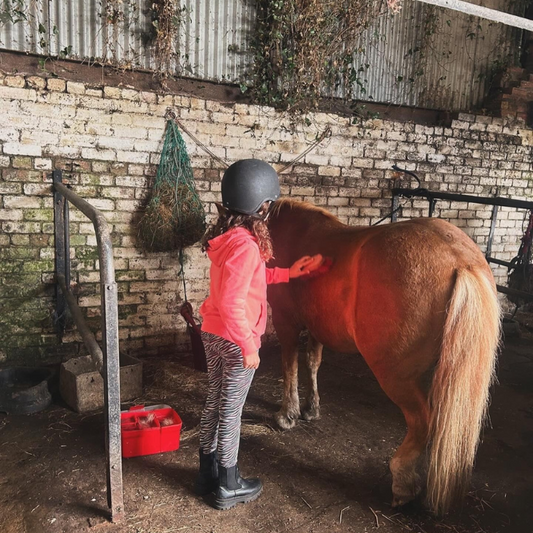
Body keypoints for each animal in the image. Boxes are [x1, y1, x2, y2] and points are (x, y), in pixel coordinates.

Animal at [268, 197, 500, 512]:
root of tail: (459, 260)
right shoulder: (316, 329)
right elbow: (312, 364)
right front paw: (310, 409)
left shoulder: (287, 324)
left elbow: (289, 366)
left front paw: (287, 415)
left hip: (395, 376)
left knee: (423, 422)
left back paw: (402, 482)